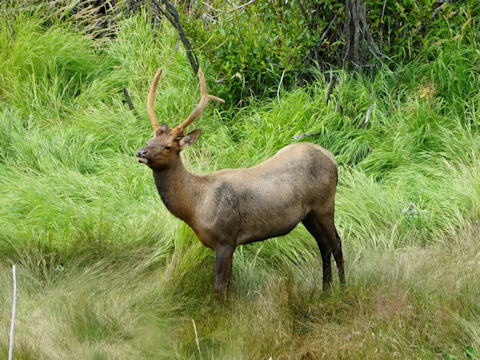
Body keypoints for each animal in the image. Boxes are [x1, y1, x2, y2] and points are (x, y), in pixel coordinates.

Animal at [136, 67, 344, 292]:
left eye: (168, 146)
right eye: (149, 140)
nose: (141, 152)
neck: (194, 207)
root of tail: (332, 159)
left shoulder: (225, 239)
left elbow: (220, 288)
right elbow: (228, 286)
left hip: (325, 204)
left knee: (336, 242)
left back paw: (343, 287)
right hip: (308, 213)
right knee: (323, 245)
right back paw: (325, 289)